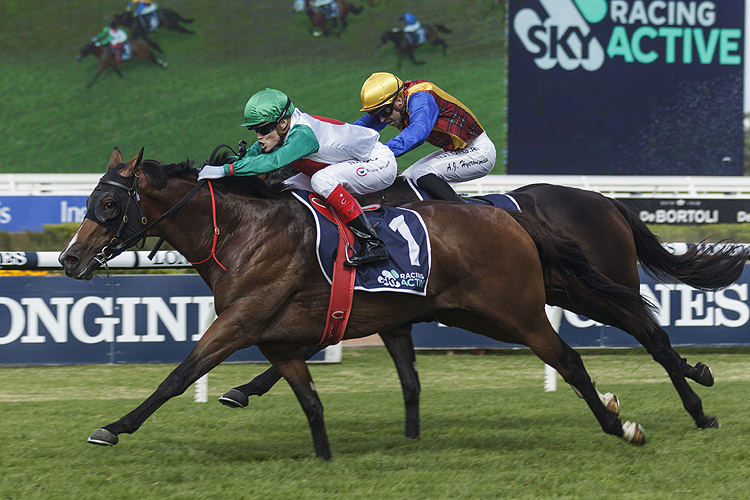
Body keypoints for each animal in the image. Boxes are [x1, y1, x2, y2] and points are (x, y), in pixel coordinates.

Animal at [57, 147, 652, 458]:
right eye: (87, 201)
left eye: (108, 205)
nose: (68, 258)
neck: (243, 231)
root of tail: (508, 218)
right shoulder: (293, 330)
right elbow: (318, 395)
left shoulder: (243, 320)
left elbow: (179, 375)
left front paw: (114, 427)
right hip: (474, 311)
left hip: (518, 312)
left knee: (577, 356)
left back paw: (622, 423)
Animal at [222, 176, 748, 438]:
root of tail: (605, 201)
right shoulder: (383, 303)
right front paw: (242, 389)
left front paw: (242, 389)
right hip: (575, 294)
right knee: (651, 336)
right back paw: (692, 383)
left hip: (598, 287)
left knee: (652, 336)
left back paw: (699, 407)